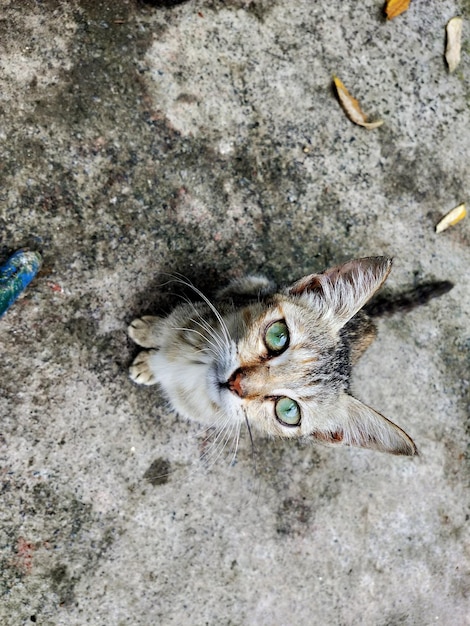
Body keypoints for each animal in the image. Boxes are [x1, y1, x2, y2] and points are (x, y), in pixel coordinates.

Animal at [126, 256, 450, 456]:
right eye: (278, 336)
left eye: (288, 411)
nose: (237, 384)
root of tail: (368, 319)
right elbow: (168, 326)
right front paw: (149, 333)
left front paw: (147, 363)